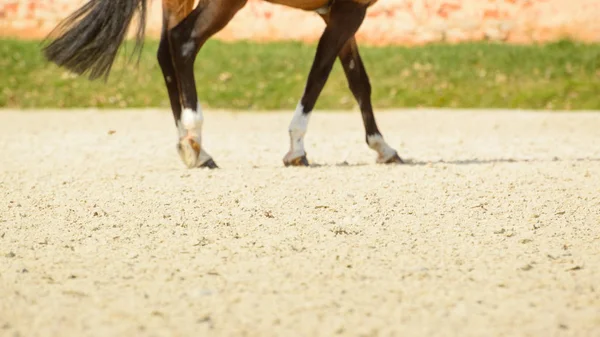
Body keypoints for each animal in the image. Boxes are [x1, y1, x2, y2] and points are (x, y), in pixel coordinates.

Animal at [42, 0, 404, 168]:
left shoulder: (336, 14)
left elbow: (358, 81)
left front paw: (383, 148)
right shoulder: (348, 12)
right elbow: (319, 76)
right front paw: (296, 149)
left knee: (166, 55)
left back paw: (192, 147)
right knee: (183, 44)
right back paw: (196, 142)